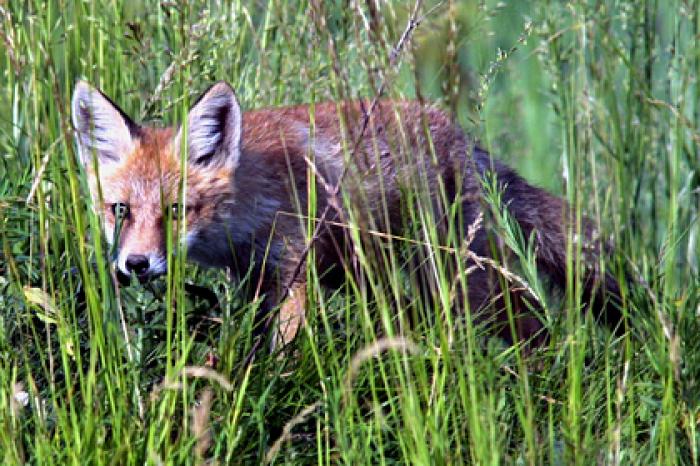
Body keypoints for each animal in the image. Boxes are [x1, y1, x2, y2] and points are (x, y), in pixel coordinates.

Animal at [71, 80, 620, 348]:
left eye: (178, 210)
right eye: (120, 210)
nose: (136, 265)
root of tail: (460, 136)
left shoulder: (295, 270)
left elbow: (284, 349)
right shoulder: (255, 279)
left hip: (459, 276)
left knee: (533, 322)